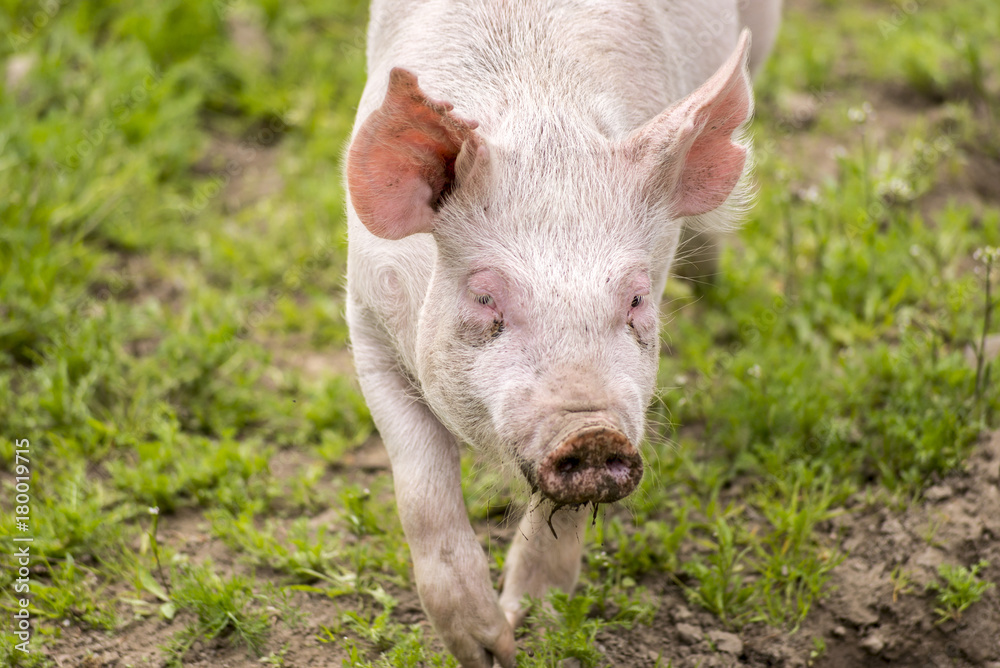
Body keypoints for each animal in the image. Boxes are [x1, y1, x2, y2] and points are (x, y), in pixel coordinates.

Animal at [344, 1, 780, 665]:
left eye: (635, 299)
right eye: (485, 297)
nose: (593, 431)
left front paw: (537, 621)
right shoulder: (365, 316)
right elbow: (422, 494)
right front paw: (490, 649)